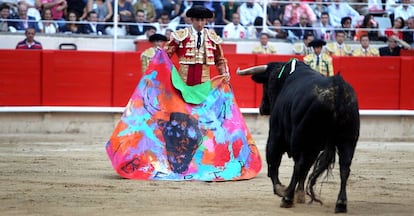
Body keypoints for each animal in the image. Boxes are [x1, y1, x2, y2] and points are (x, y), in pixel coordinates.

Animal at [238, 60, 360, 213]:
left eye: (267, 83)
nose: (262, 108)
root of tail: (337, 89)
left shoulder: (276, 135)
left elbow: (273, 162)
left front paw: (281, 190)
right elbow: (305, 168)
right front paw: (300, 194)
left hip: (305, 140)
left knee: (299, 166)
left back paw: (287, 198)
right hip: (347, 140)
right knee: (344, 167)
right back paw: (341, 203)